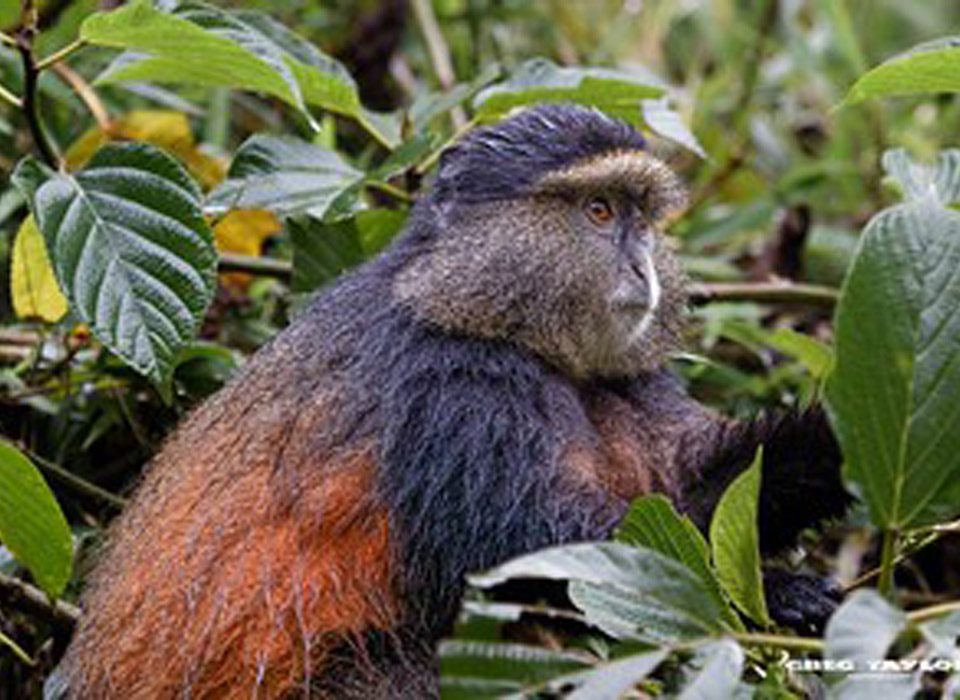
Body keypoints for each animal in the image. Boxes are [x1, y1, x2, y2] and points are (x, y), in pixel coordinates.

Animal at [59, 104, 849, 699]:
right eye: (599, 211)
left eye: (642, 217)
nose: (641, 265)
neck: (495, 318)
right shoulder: (453, 389)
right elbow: (540, 553)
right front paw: (780, 593)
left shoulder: (630, 380)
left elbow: (689, 492)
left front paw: (833, 443)